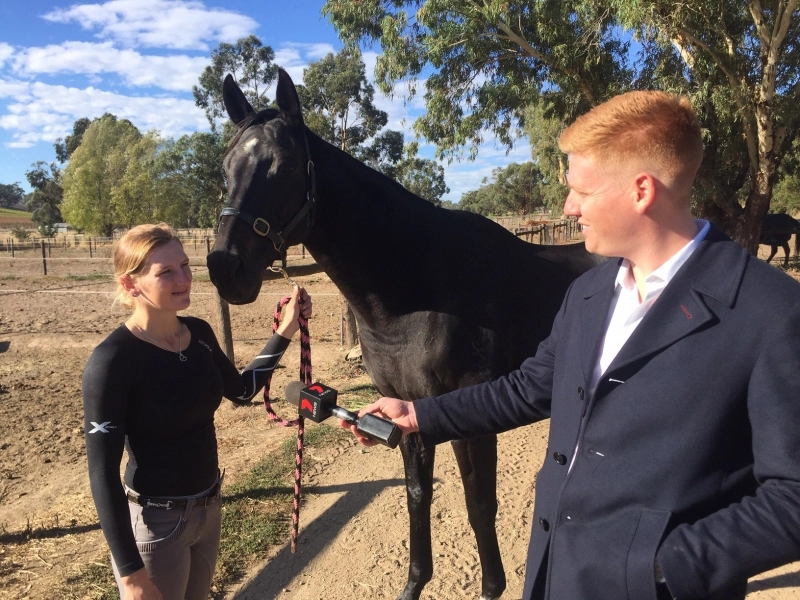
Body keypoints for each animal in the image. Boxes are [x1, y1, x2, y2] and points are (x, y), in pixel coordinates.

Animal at [206, 70, 600, 600]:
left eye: (284, 167)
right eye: (227, 166)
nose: (225, 268)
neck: (418, 292)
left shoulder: (472, 416)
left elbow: (480, 506)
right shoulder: (408, 409)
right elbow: (418, 496)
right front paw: (416, 581)